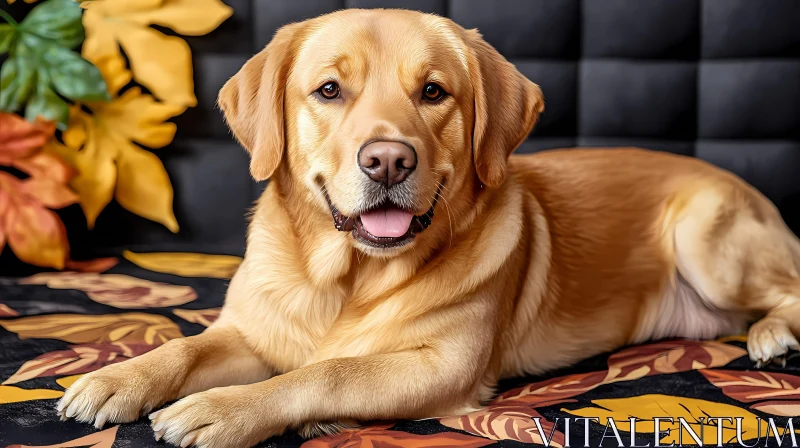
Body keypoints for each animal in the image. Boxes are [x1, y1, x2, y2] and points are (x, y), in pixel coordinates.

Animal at [57, 7, 800, 448]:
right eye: (329, 90)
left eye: (434, 92)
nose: (387, 159)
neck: (345, 278)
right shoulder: (251, 332)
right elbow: (186, 348)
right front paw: (118, 377)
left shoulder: (443, 368)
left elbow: (327, 373)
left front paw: (227, 407)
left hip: (706, 239)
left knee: (787, 290)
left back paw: (772, 336)